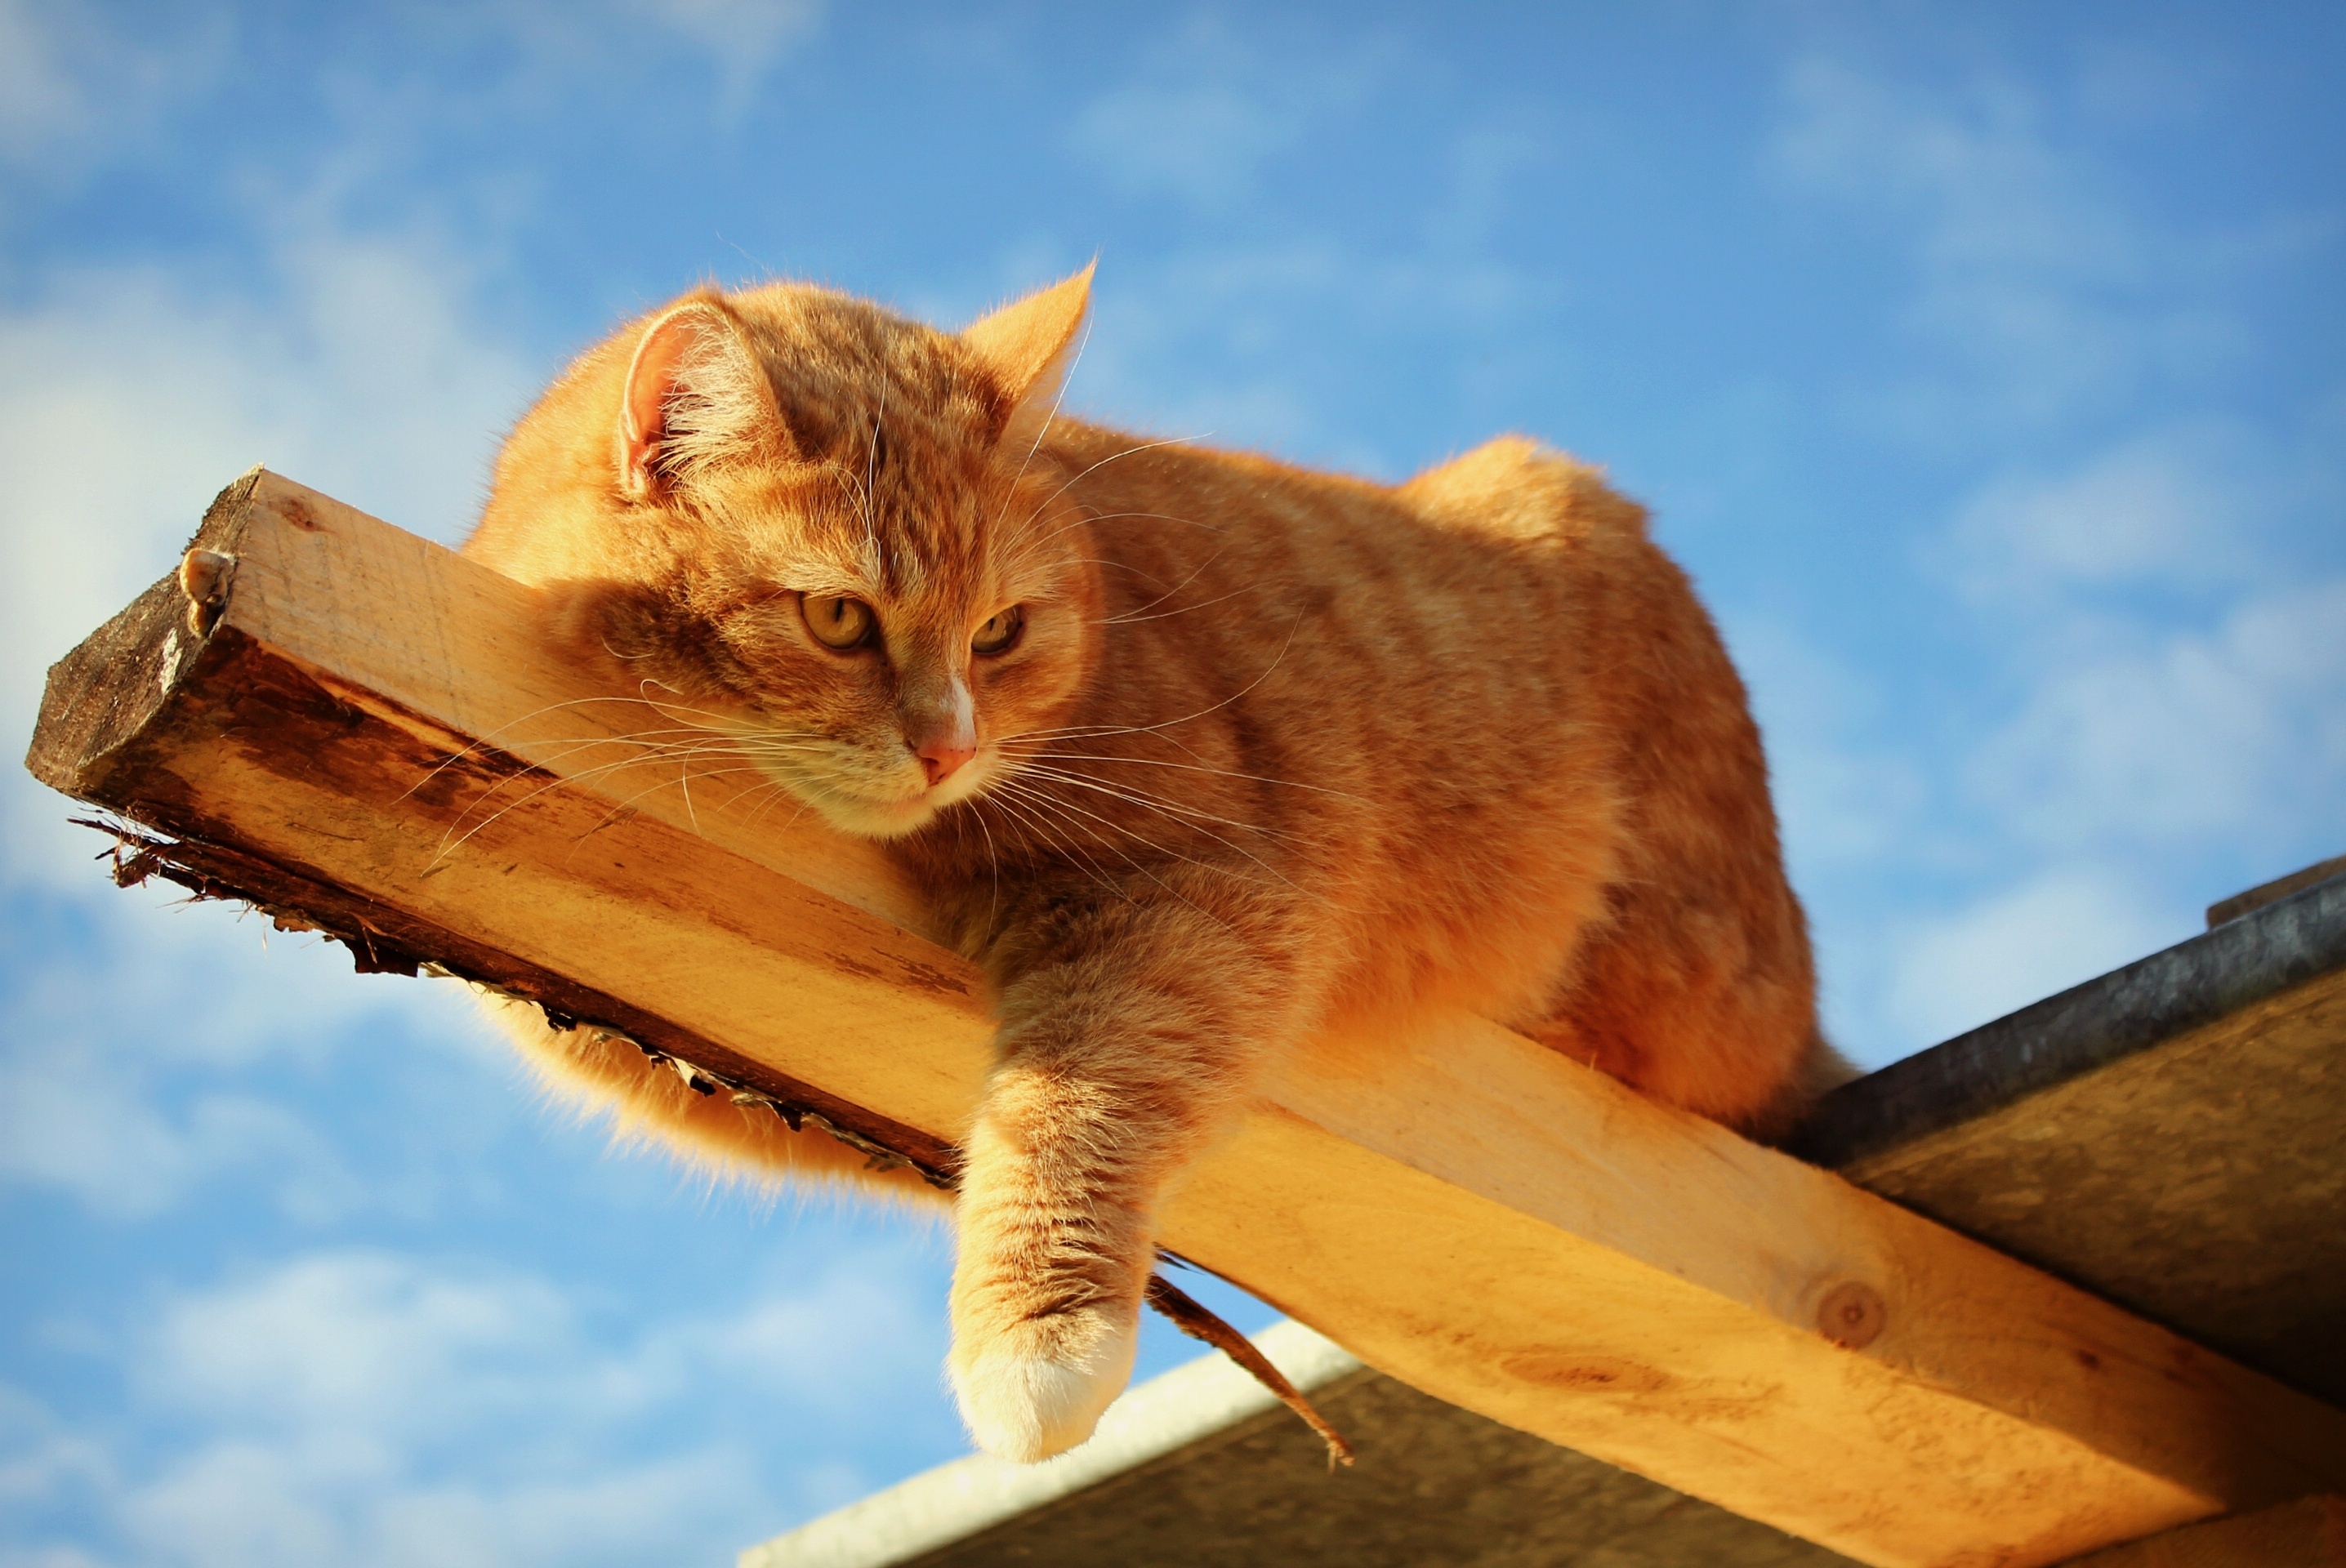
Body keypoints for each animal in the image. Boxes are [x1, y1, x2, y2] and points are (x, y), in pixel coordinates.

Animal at [466, 265, 1839, 1453]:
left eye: (1000, 633)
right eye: (839, 617)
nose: (950, 747)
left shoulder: (1200, 892)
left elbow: (1076, 1098)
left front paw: (1035, 1344)